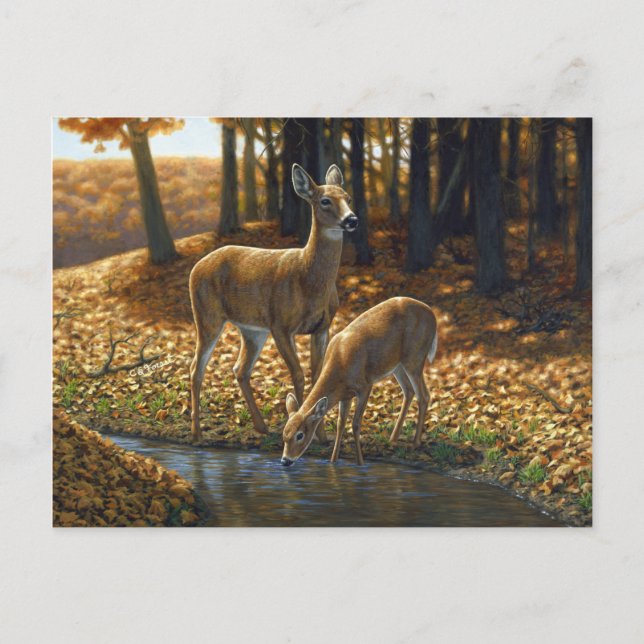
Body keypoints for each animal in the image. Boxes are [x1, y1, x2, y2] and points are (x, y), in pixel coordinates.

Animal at [189, 163, 358, 443]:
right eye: (324, 200)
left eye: (348, 197)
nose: (351, 219)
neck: (309, 281)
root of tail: (195, 267)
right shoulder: (281, 325)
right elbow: (298, 374)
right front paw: (306, 433)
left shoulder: (322, 327)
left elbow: (317, 377)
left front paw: (322, 437)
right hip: (207, 315)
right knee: (196, 368)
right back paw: (197, 434)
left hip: (252, 329)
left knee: (240, 369)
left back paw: (261, 427)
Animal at [280, 297, 438, 466]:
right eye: (284, 434)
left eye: (300, 435)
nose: (285, 460)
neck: (340, 364)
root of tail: (432, 315)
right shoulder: (345, 395)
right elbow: (340, 424)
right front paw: (333, 461)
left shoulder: (365, 386)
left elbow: (355, 424)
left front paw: (360, 463)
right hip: (397, 365)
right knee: (409, 391)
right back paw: (393, 438)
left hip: (415, 357)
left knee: (424, 395)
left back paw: (415, 443)